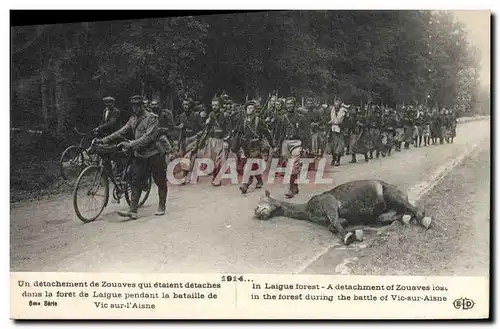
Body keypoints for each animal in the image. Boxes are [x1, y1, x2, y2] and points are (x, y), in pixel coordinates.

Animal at [256, 179, 432, 243]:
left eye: (262, 201)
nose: (257, 212)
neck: (307, 209)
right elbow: (334, 224)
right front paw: (356, 232)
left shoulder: (329, 202)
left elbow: (334, 222)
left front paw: (350, 236)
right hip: (384, 213)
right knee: (399, 214)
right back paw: (407, 219)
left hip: (391, 194)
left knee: (415, 208)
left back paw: (425, 220)